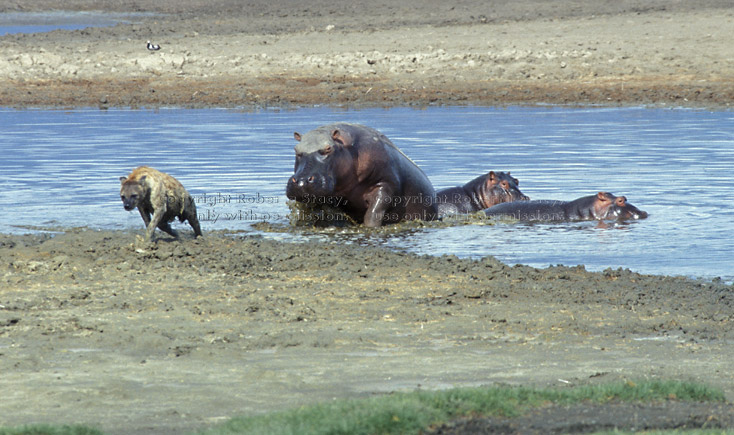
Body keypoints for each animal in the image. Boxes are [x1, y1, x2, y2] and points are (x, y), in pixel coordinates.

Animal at [286, 123, 438, 227]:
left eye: (328, 148)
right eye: (296, 149)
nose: (302, 181)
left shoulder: (385, 184)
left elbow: (374, 212)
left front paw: (370, 227)